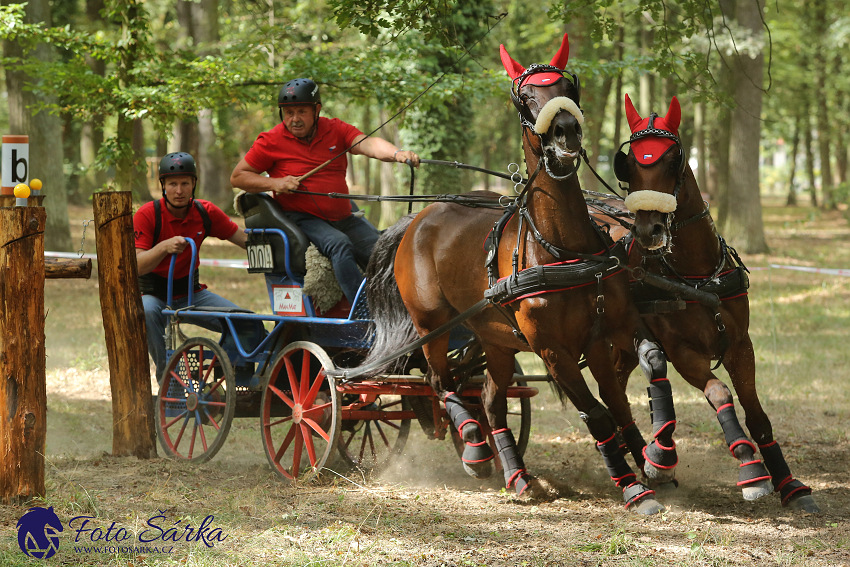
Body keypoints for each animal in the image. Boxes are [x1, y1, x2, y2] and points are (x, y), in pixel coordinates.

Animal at [352, 35, 668, 516]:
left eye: (567, 86)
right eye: (525, 96)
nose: (566, 132)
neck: (561, 250)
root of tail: (418, 217)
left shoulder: (605, 332)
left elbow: (631, 387)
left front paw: (652, 459)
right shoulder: (554, 350)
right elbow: (597, 413)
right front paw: (632, 486)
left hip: (493, 339)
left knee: (489, 399)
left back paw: (516, 474)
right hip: (431, 325)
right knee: (440, 383)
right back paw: (474, 448)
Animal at [600, 94, 820, 516]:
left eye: (673, 159)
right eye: (630, 163)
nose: (648, 230)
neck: (698, 274)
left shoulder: (740, 346)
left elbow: (757, 413)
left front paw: (789, 483)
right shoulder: (685, 352)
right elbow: (720, 394)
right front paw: (751, 469)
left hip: (625, 344)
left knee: (617, 383)